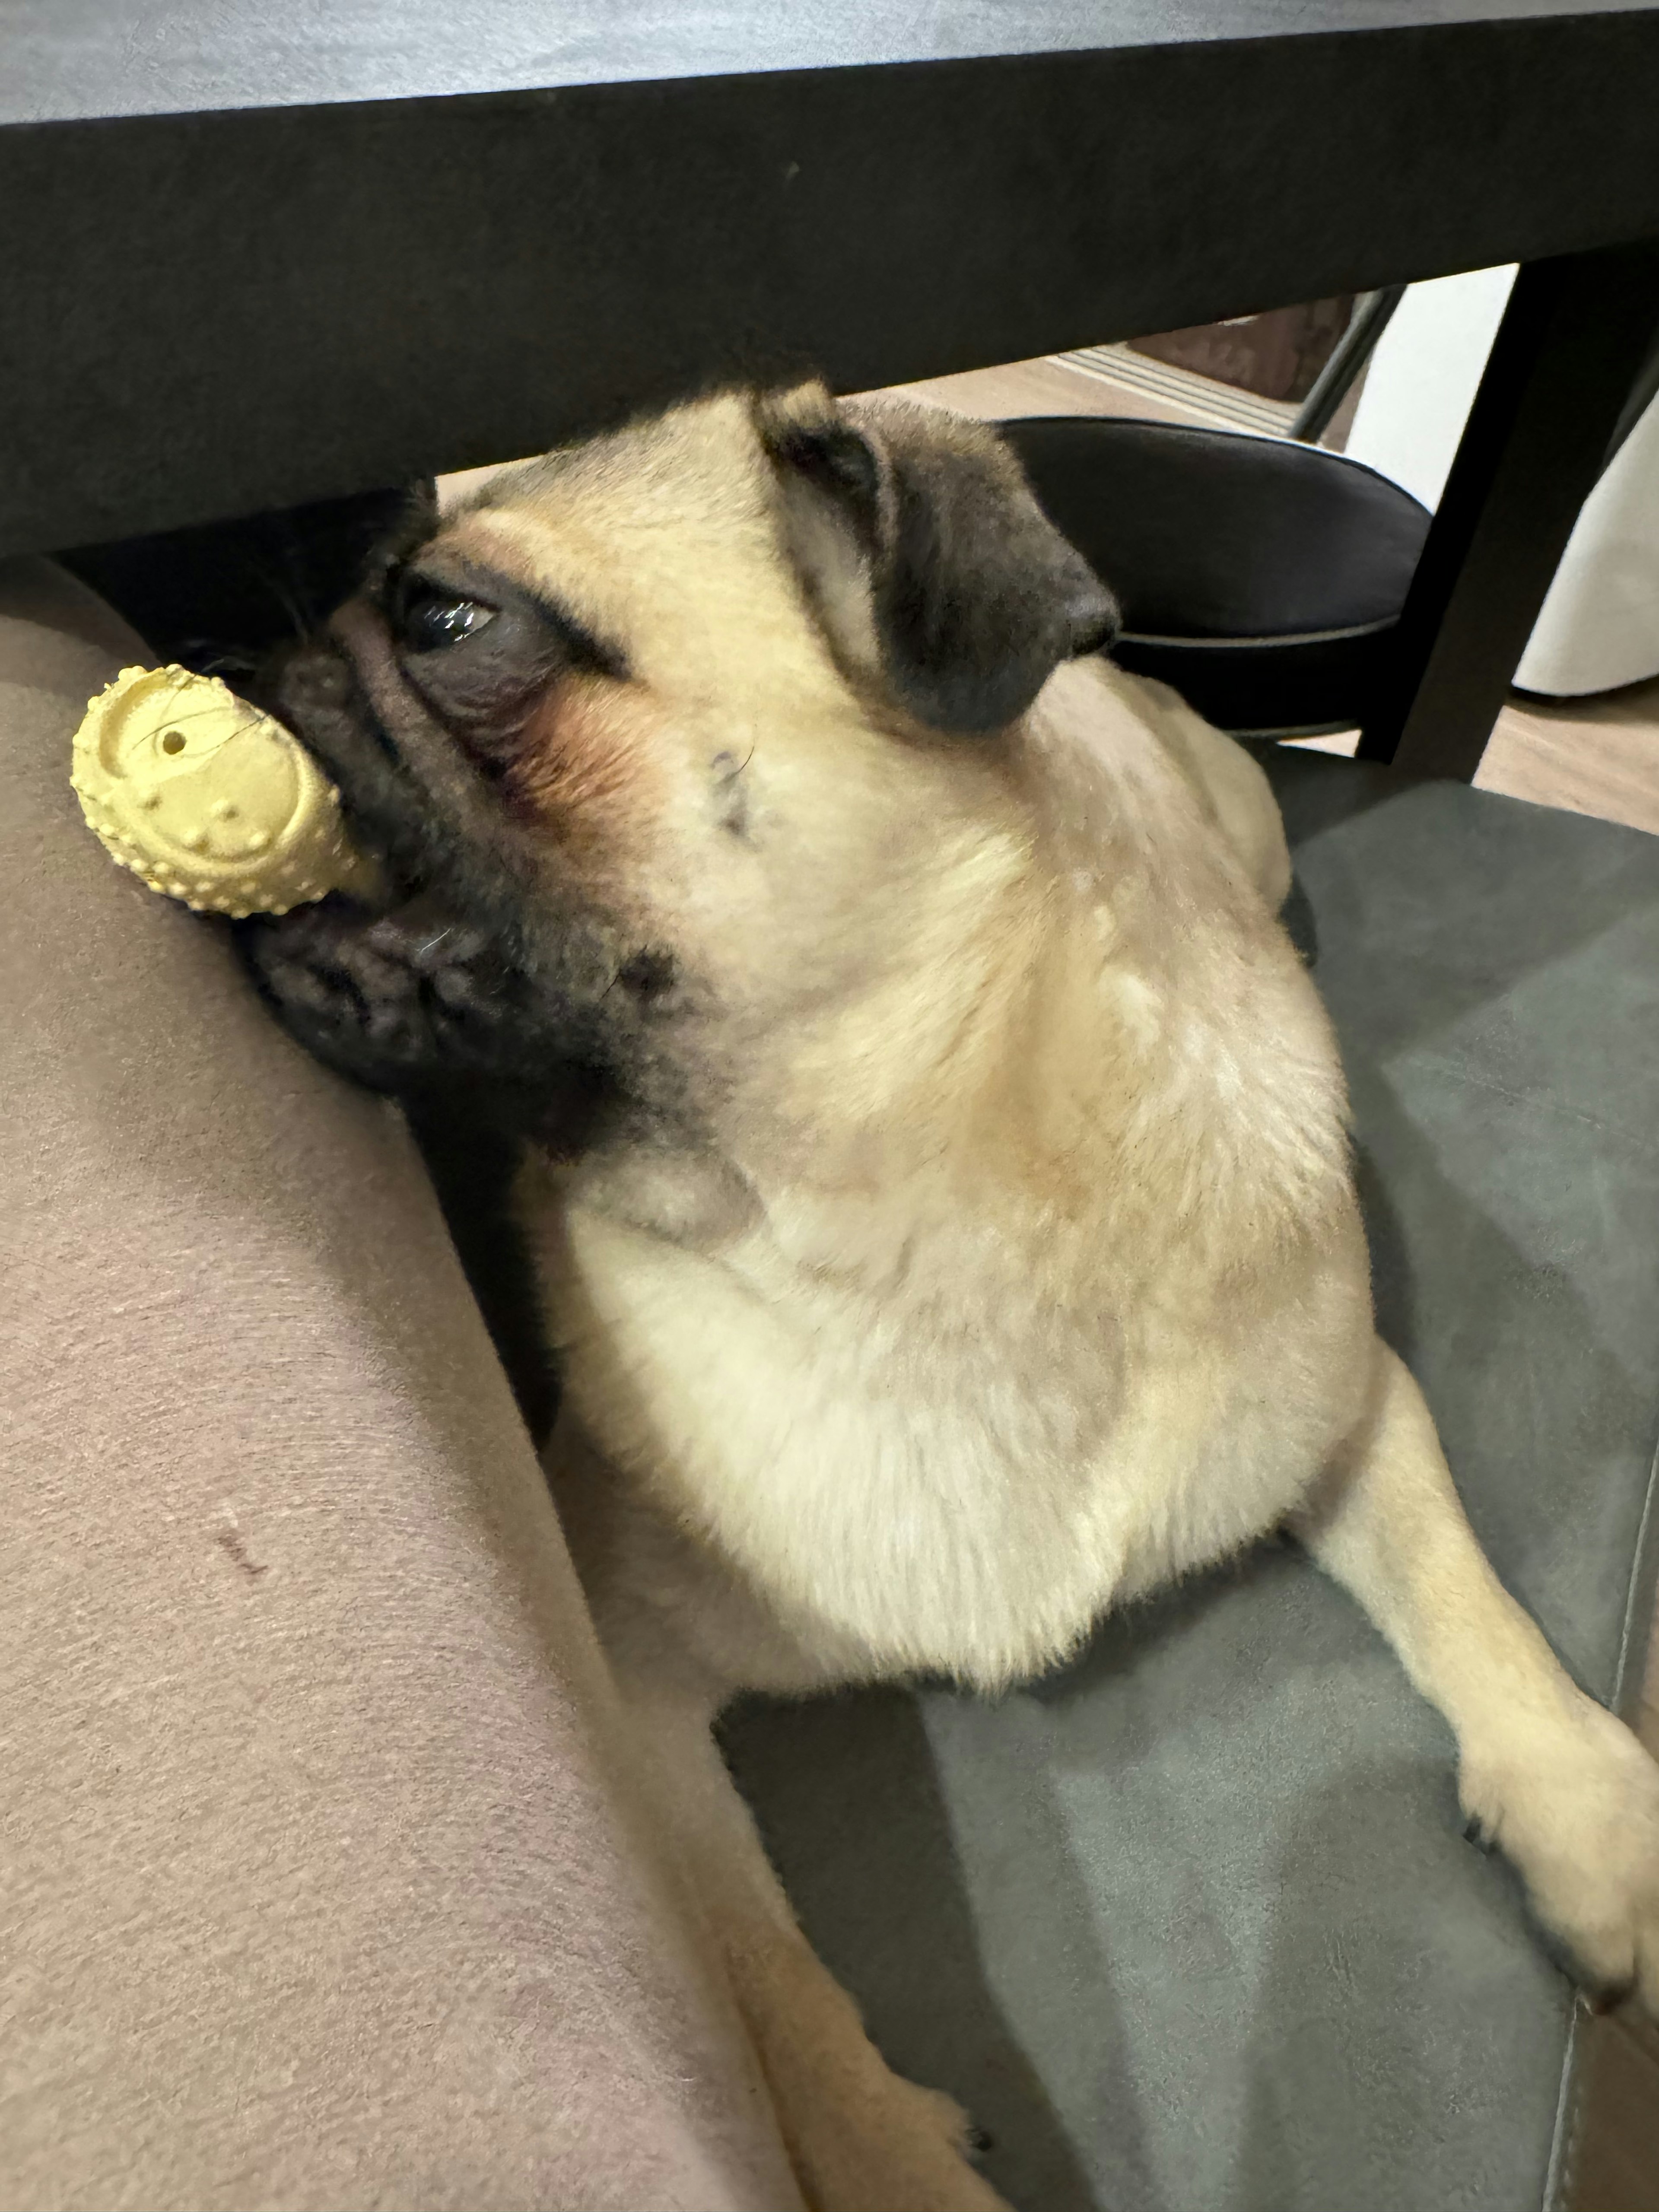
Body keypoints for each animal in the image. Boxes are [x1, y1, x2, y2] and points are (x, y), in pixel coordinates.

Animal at [243, 389, 1659, 2203]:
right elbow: (774, 1999)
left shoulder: (1351, 1409)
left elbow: (1463, 1588)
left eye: (441, 623)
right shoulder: (632, 1714)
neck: (902, 1231)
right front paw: (890, 2150)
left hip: (1252, 833)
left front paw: (1589, 1812)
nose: (253, 652)